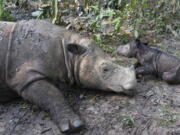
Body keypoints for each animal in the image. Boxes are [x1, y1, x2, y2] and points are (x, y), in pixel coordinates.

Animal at [0, 19, 136, 133]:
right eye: (105, 69)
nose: (133, 85)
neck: (69, 55)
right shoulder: (25, 77)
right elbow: (52, 94)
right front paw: (74, 126)